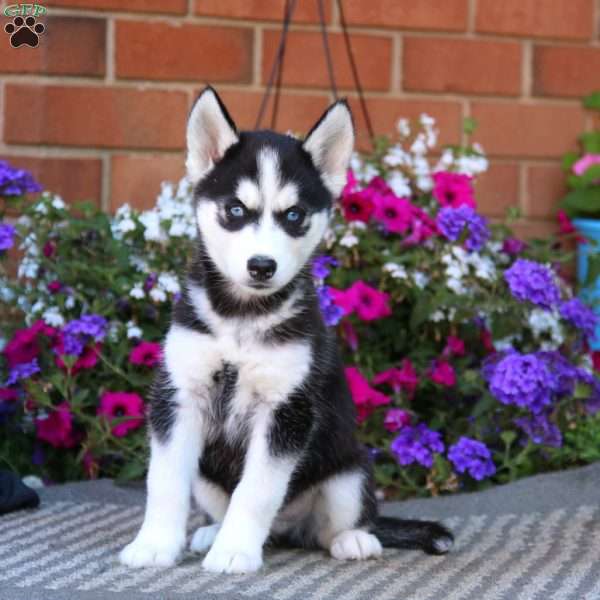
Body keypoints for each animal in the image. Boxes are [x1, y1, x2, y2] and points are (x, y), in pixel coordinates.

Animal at [119, 86, 452, 576]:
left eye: (294, 216)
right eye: (236, 210)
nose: (262, 265)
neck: (241, 317)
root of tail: (289, 528)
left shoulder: (286, 411)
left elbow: (256, 492)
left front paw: (236, 551)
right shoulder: (179, 397)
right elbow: (163, 481)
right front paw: (156, 544)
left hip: (350, 470)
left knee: (335, 524)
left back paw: (353, 539)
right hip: (206, 476)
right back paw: (212, 531)